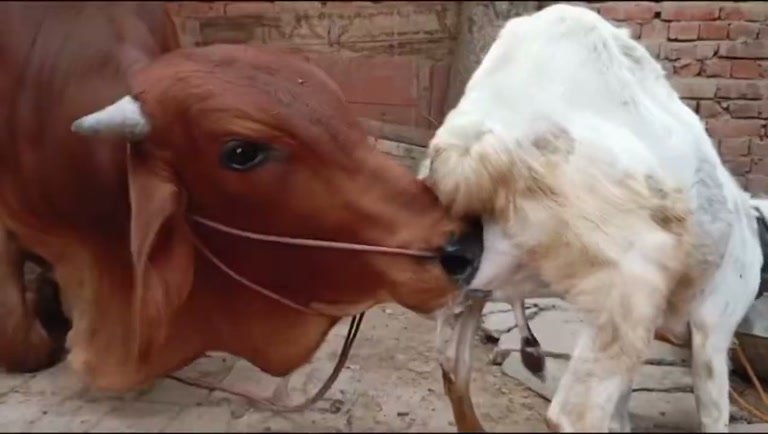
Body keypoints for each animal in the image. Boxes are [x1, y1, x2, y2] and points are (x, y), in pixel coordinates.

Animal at [420, 4, 765, 432]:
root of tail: (477, 140)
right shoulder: (714, 326)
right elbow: (714, 412)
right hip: (632, 282)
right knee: (572, 414)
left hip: (478, 278)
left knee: (454, 366)